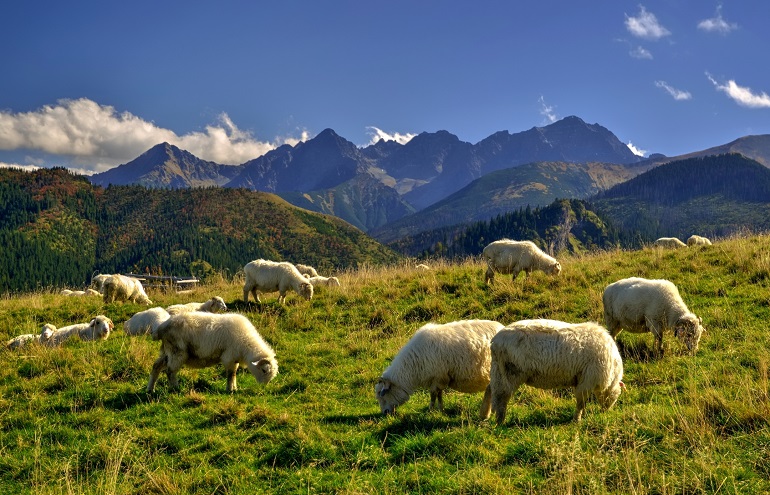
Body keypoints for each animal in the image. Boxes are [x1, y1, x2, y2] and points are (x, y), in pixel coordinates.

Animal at [147, 312, 278, 393]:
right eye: (264, 370)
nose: (264, 386)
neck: (246, 343)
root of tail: (161, 328)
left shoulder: (234, 358)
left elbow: (234, 374)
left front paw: (234, 388)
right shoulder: (229, 357)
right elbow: (230, 374)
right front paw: (230, 389)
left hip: (167, 351)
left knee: (156, 366)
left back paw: (150, 389)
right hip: (177, 351)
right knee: (170, 371)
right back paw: (175, 389)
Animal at [374, 319, 505, 417]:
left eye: (382, 393)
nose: (385, 413)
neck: (412, 367)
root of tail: (502, 327)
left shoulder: (438, 376)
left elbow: (433, 395)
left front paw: (431, 410)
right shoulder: (439, 378)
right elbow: (439, 394)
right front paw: (441, 409)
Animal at [489, 320, 624, 423]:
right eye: (616, 397)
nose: (605, 412)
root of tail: (495, 341)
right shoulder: (587, 381)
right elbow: (581, 403)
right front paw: (577, 419)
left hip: (498, 372)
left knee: (496, 396)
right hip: (510, 373)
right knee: (502, 398)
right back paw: (500, 421)